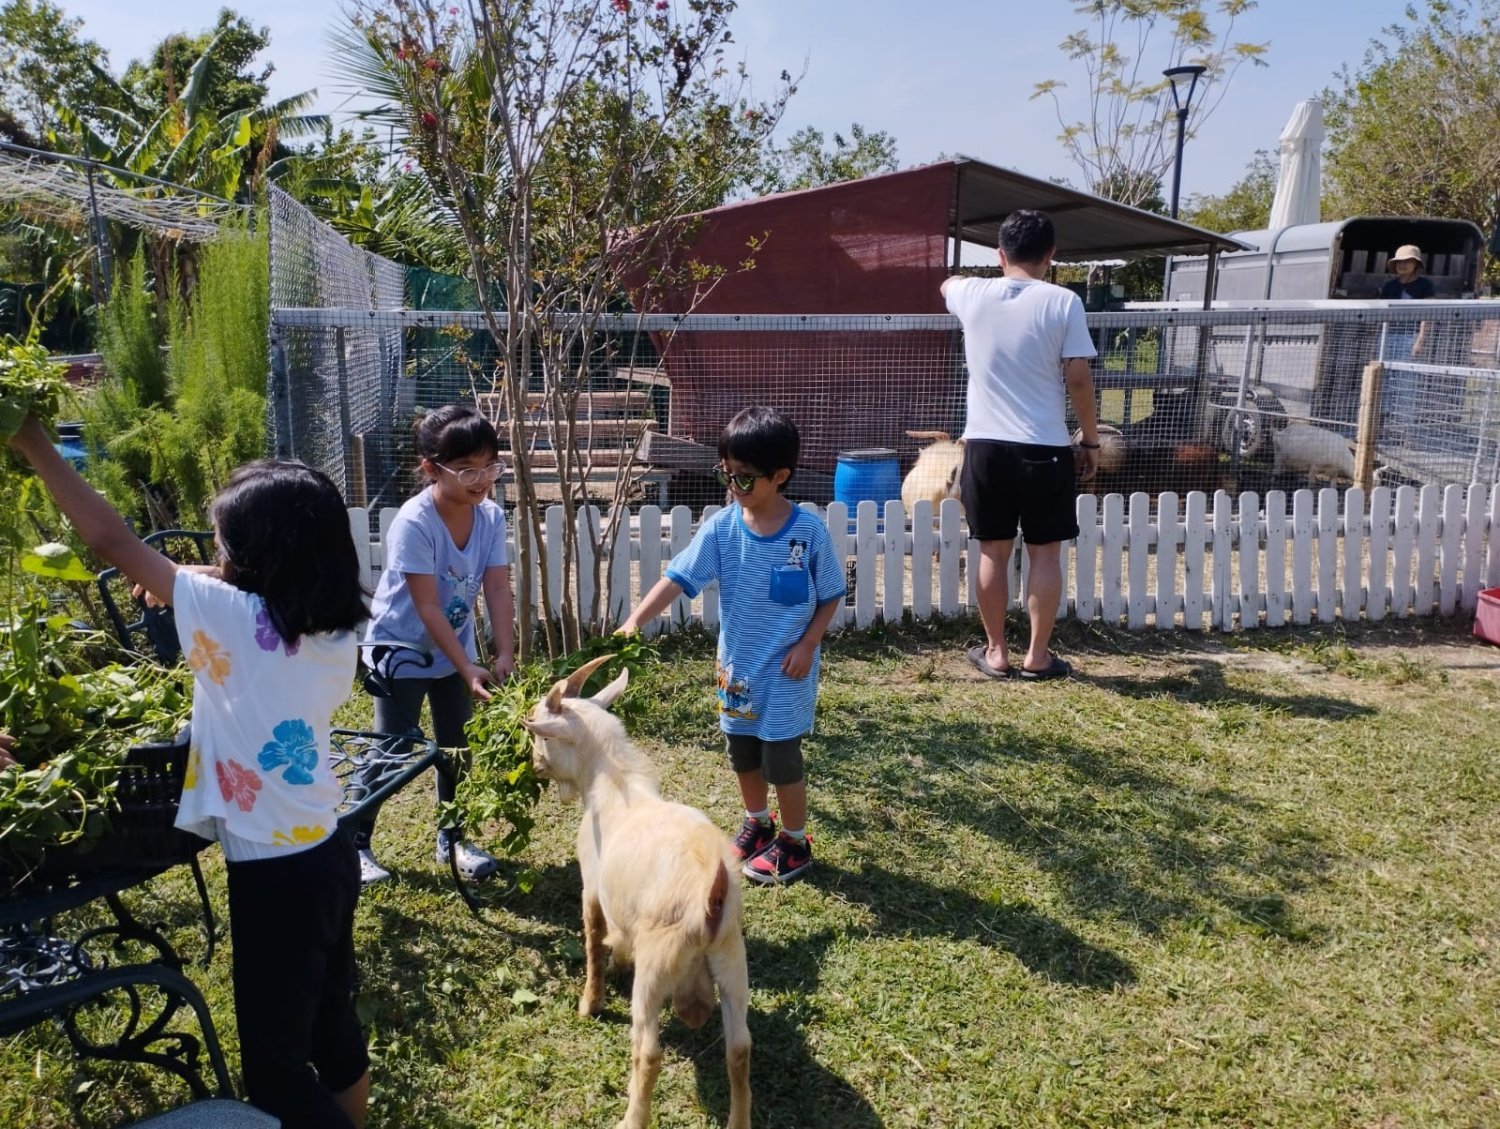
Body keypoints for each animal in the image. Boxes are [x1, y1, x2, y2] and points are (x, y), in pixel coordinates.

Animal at [525, 650, 750, 1127]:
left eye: (536, 727)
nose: (534, 763)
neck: (617, 791)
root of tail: (711, 891)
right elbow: (616, 940)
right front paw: (617, 964)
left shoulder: (592, 889)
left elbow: (593, 943)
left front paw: (589, 1004)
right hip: (732, 961)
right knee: (739, 1048)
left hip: (657, 967)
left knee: (648, 1051)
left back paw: (631, 1118)